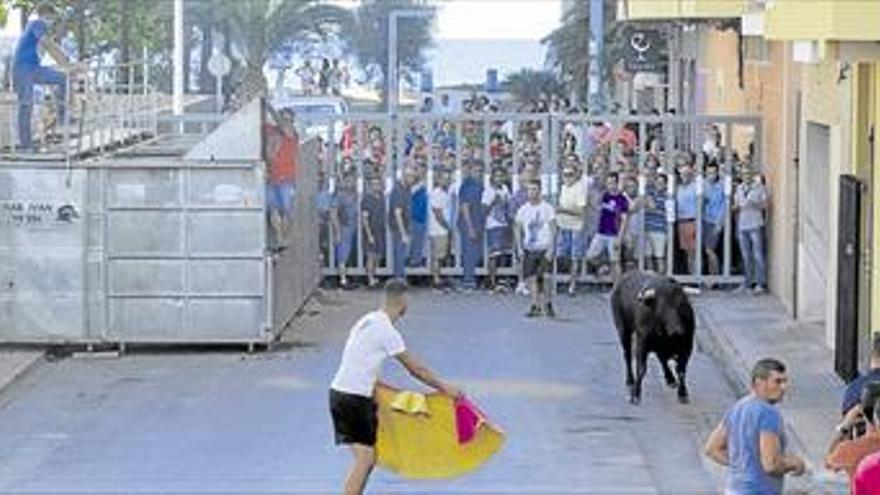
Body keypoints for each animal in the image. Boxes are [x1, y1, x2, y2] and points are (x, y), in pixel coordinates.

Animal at [612, 274, 696, 404]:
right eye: (662, 307)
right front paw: (636, 393)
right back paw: (630, 380)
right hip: (623, 331)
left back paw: (670, 380)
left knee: (662, 359)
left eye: (682, 305)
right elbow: (641, 369)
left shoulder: (687, 346)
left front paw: (683, 393)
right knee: (627, 355)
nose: (676, 330)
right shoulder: (642, 343)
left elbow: (681, 370)